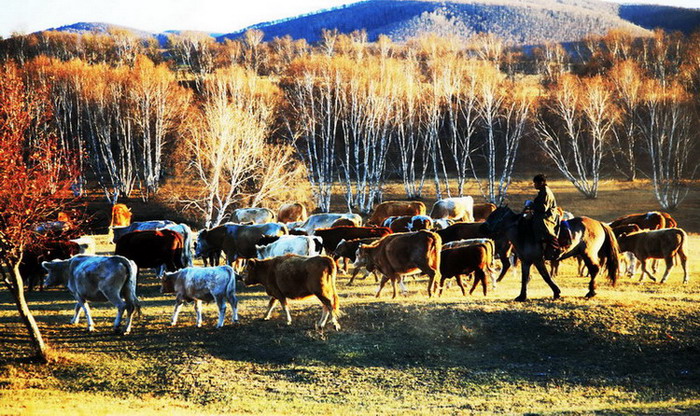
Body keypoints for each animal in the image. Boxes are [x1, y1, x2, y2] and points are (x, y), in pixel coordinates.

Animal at [482, 206, 616, 300]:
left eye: (495, 215)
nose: (483, 227)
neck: (524, 233)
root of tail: (599, 223)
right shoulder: (526, 261)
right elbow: (525, 278)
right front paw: (521, 296)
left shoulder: (538, 260)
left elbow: (546, 276)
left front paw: (556, 292)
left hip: (588, 254)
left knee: (595, 269)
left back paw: (591, 292)